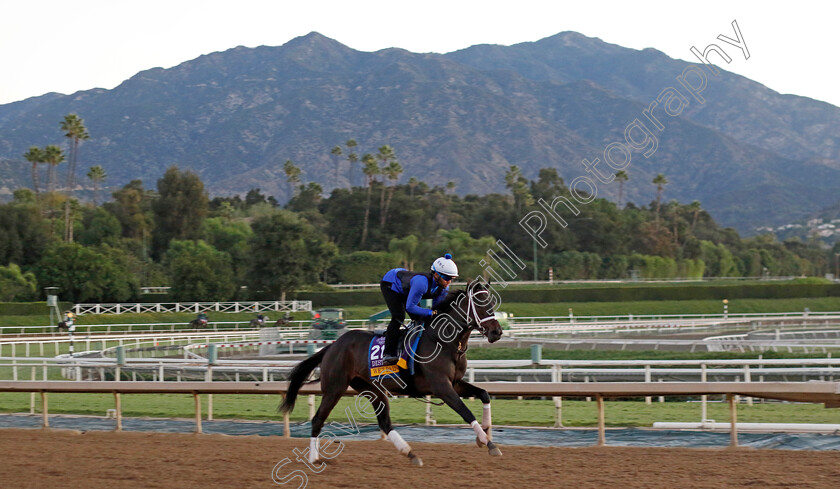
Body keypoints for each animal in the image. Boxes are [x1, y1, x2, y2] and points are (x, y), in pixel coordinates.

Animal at [278, 278, 502, 466]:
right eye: (480, 304)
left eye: (491, 302)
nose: (497, 332)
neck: (444, 342)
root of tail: (332, 346)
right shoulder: (442, 386)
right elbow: (465, 412)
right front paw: (488, 442)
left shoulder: (455, 383)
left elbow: (484, 394)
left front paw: (485, 434)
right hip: (335, 388)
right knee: (318, 419)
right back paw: (313, 458)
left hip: (372, 390)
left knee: (385, 423)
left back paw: (410, 453)